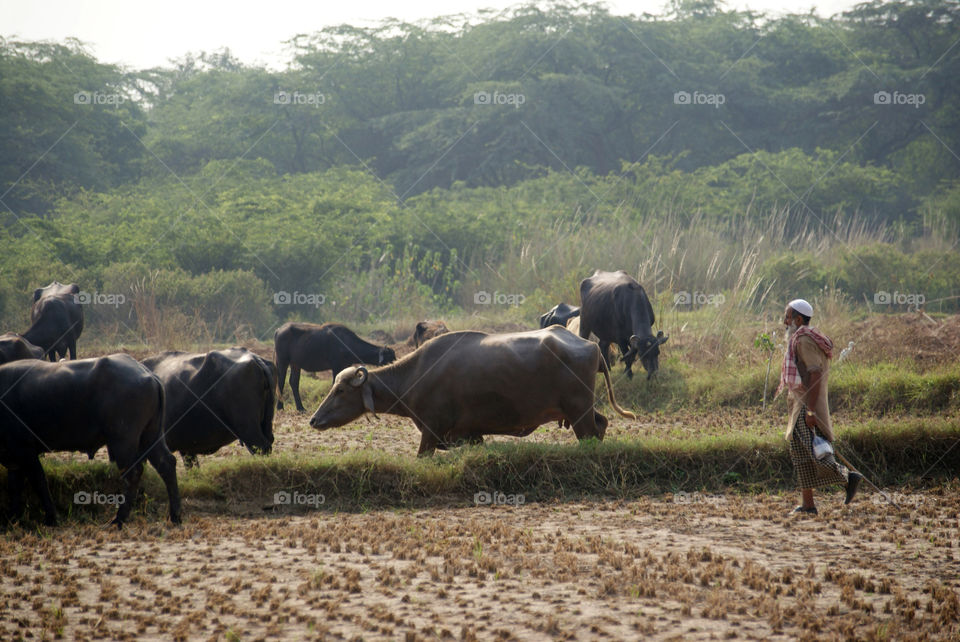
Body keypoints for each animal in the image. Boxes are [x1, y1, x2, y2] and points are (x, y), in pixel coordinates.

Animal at [0, 354, 181, 527]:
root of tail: (148, 374)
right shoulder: (14, 456)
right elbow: (14, 486)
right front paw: (12, 518)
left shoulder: (24, 450)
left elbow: (38, 482)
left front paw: (50, 518)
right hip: (150, 435)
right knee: (166, 464)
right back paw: (174, 516)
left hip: (123, 440)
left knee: (133, 473)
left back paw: (118, 519)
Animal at [308, 326, 636, 456]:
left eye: (340, 390)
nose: (314, 420)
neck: (415, 373)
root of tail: (592, 346)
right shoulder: (467, 434)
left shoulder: (432, 431)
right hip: (580, 409)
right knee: (602, 423)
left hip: (578, 412)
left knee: (591, 434)